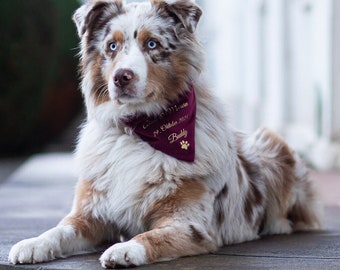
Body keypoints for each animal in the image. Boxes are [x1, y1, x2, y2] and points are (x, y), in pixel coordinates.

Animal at [7, 0, 322, 268]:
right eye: (112, 46)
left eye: (152, 44)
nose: (121, 77)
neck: (139, 130)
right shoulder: (90, 214)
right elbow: (59, 230)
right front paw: (32, 243)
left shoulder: (189, 224)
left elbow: (152, 236)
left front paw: (125, 249)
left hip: (271, 145)